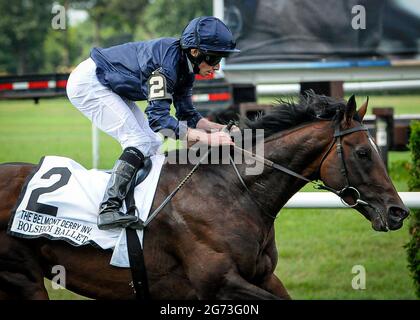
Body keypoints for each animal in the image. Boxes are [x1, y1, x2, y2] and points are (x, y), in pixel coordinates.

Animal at [0, 94, 410, 298]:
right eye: (363, 152)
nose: (398, 212)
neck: (233, 192)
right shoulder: (219, 284)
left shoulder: (263, 276)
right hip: (23, 279)